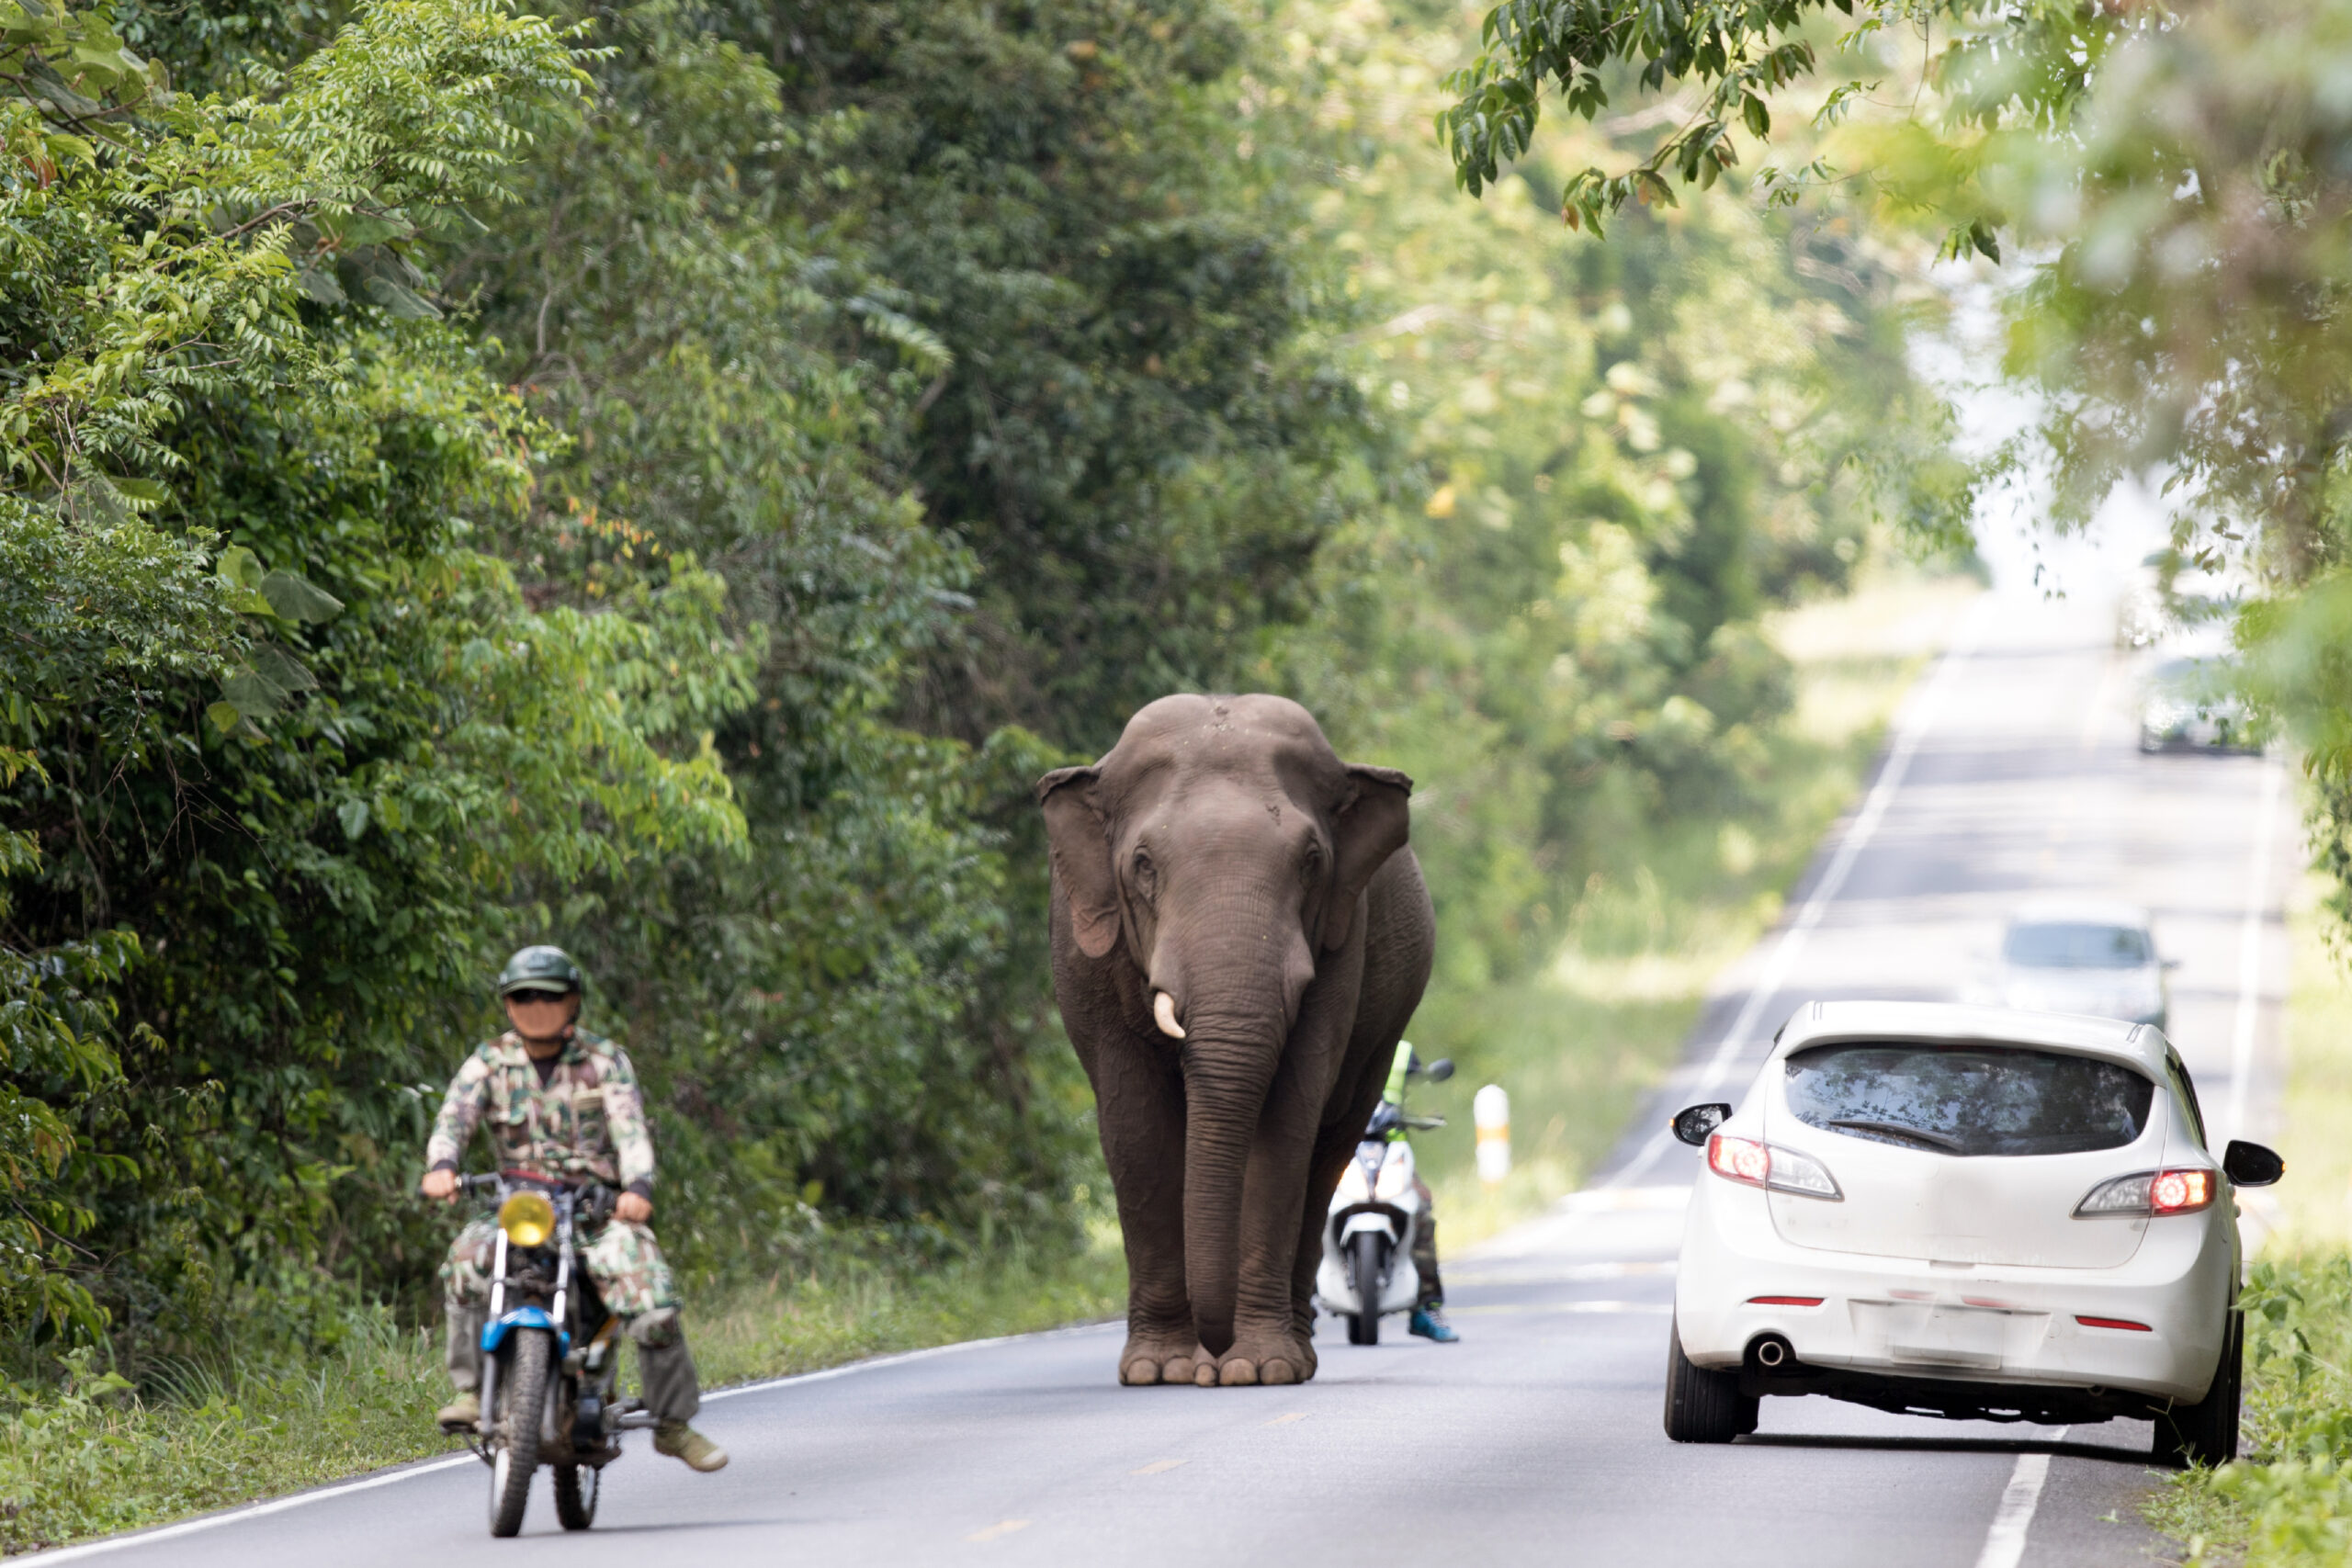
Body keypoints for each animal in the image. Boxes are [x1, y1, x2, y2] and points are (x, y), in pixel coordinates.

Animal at [1044, 691, 1430, 1382]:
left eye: (1311, 863)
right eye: (1143, 866)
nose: (1215, 1351)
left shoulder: (1343, 938)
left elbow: (1285, 1124)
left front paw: (1258, 1369)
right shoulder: (1083, 952)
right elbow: (1136, 1128)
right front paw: (1159, 1371)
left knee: (1327, 1152)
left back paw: (1288, 1356)